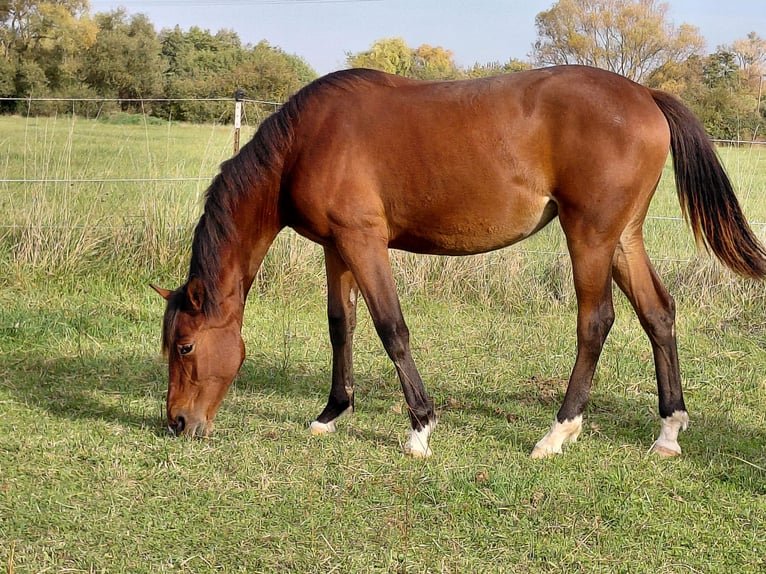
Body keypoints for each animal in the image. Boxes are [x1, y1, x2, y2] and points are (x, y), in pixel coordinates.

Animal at [152, 65, 766, 458]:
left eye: (185, 346)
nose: (177, 423)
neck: (306, 141)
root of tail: (645, 95)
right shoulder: (336, 247)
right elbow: (341, 326)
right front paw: (332, 413)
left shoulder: (364, 241)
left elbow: (391, 328)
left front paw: (420, 429)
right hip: (623, 239)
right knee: (658, 314)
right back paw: (668, 431)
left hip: (589, 236)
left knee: (596, 322)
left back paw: (558, 432)